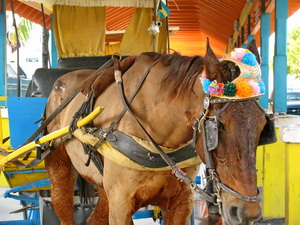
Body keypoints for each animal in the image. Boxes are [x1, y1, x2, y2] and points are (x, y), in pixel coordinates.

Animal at [45, 40, 268, 225]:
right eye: (219, 126)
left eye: (263, 125)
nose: (248, 212)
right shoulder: (121, 203)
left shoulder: (180, 202)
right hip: (60, 169)